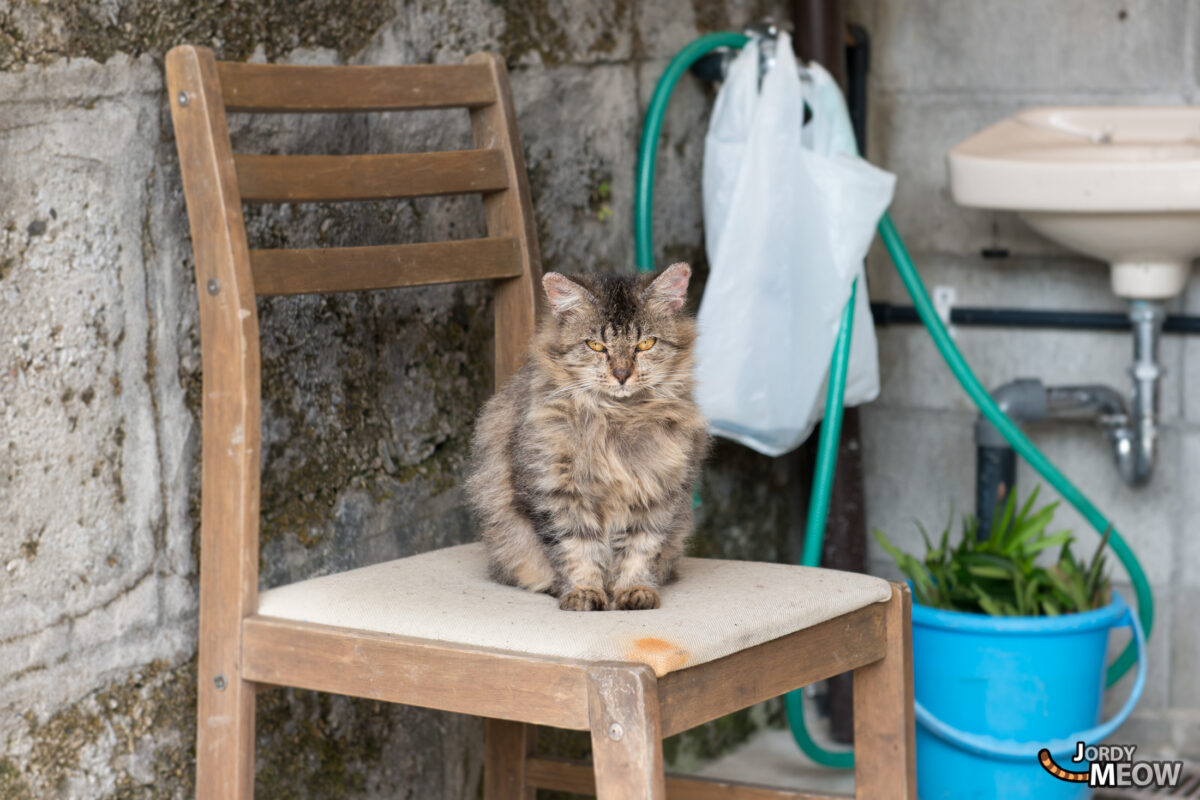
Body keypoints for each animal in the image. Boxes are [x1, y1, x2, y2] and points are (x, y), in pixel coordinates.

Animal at [465, 263, 710, 614]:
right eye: (596, 346)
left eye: (645, 344)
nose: (621, 375)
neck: (617, 419)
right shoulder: (555, 491)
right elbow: (576, 550)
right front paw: (584, 593)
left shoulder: (658, 492)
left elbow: (640, 550)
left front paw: (634, 591)